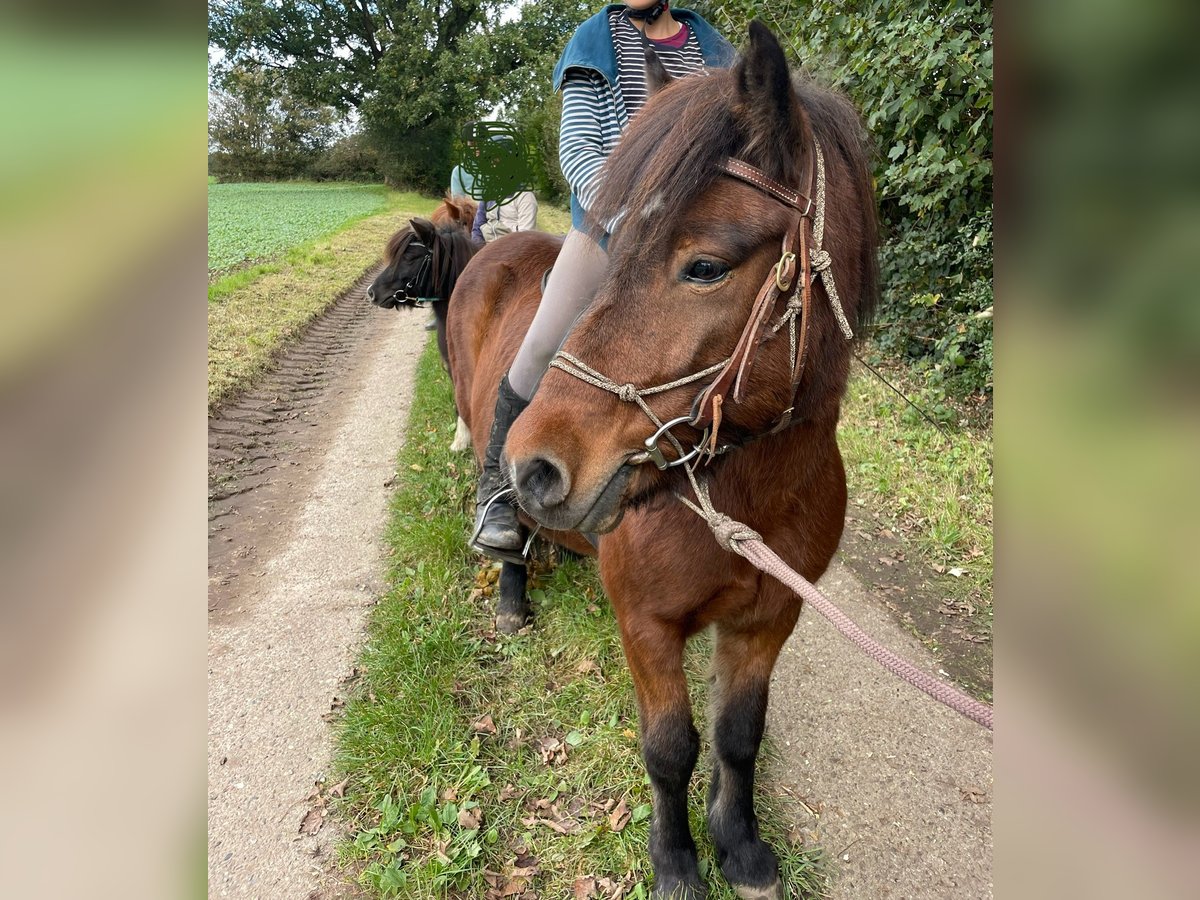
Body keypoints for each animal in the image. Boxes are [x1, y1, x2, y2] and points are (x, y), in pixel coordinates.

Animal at [451, 24, 883, 900]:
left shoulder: (767, 619)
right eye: (615, 248)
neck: (748, 502)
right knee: (505, 535)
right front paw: (677, 859)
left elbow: (739, 735)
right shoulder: (647, 626)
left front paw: (740, 846)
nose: (536, 468)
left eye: (706, 266)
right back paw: (511, 587)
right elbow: (671, 746)